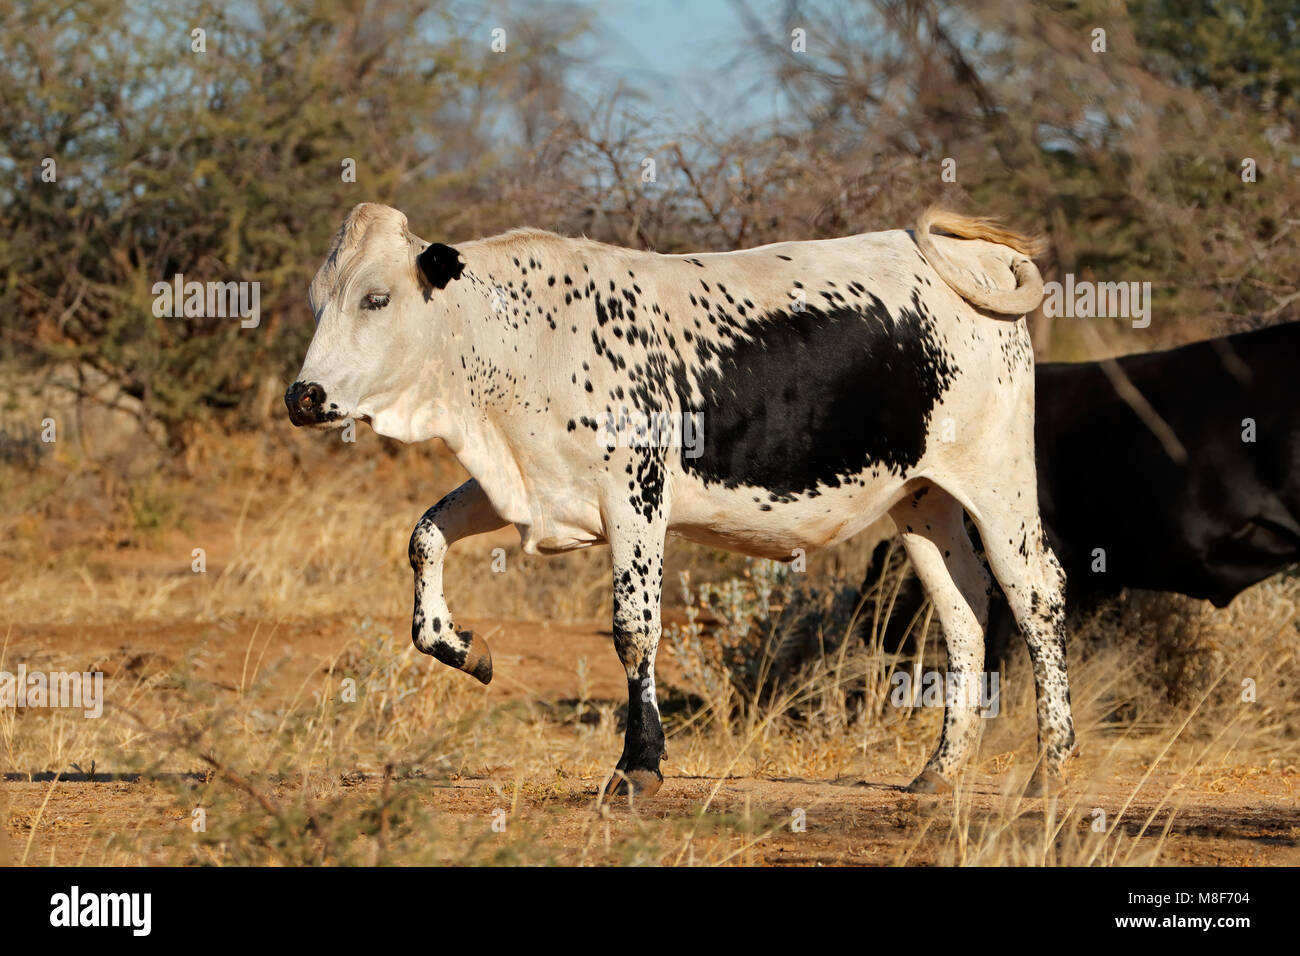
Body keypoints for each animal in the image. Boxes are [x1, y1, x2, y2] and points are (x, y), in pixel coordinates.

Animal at [285, 203, 1074, 797]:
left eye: (376, 298)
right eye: (319, 302)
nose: (304, 396)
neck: (522, 342)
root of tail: (972, 261)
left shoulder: (636, 496)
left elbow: (634, 630)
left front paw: (639, 764)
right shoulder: (527, 487)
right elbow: (424, 538)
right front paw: (464, 649)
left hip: (998, 481)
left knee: (1037, 597)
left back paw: (1052, 766)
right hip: (921, 499)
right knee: (964, 613)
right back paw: (940, 771)